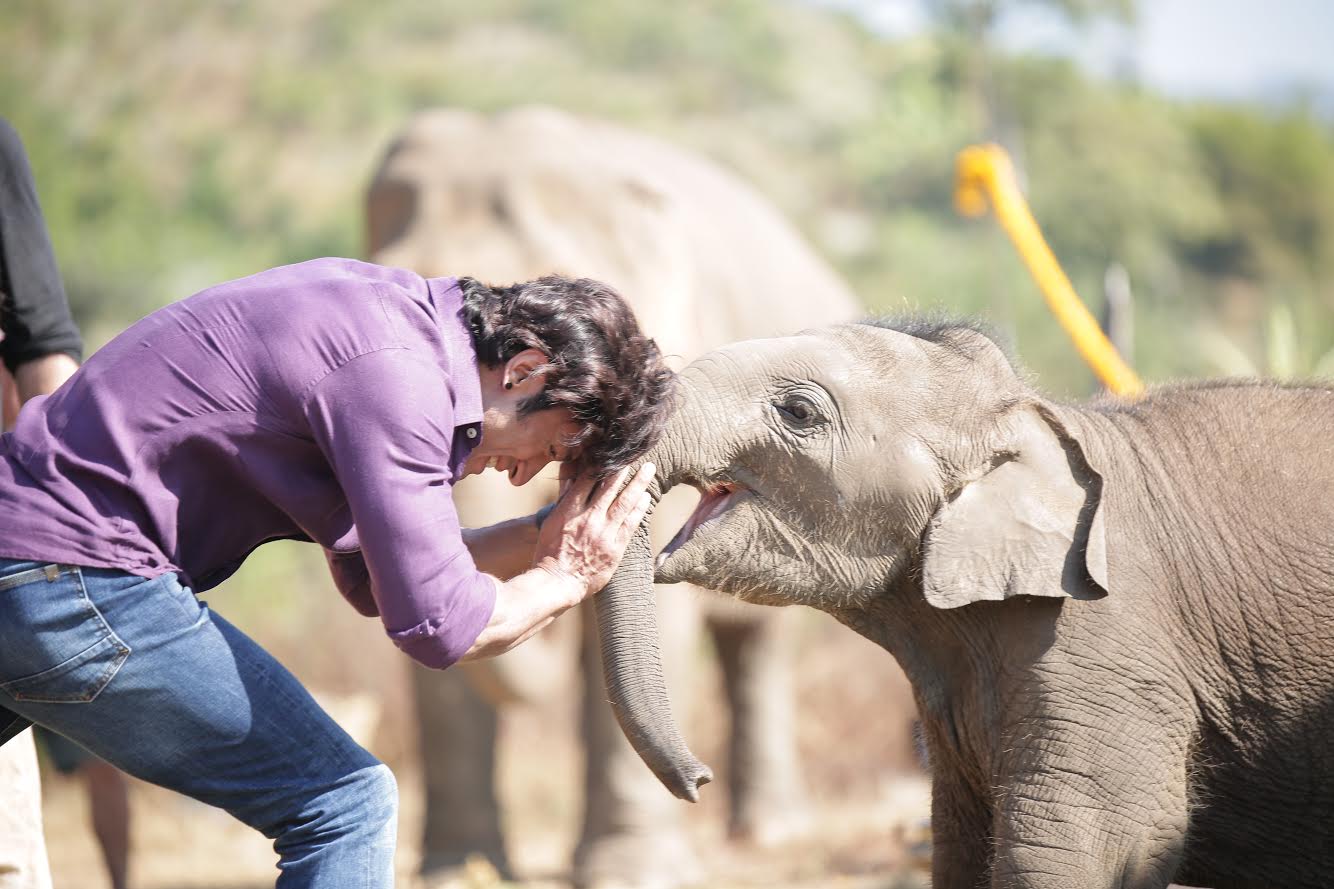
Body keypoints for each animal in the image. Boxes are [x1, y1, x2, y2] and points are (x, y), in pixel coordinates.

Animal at [594, 320, 1334, 886]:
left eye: (799, 412)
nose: (700, 779)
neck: (1033, 416)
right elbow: (960, 851)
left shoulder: (1108, 652)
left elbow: (1090, 846)